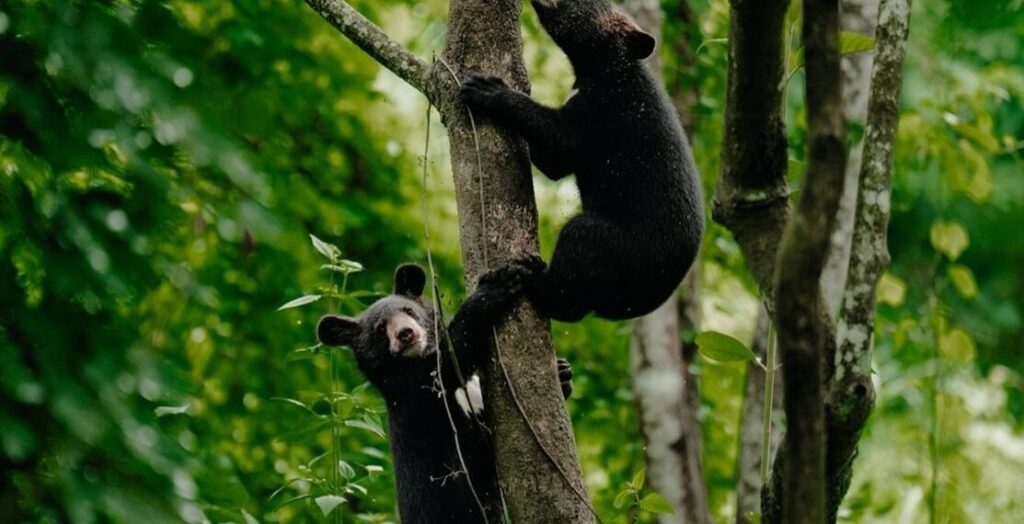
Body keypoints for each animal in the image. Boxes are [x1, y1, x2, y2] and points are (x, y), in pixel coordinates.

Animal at [316, 261, 572, 523]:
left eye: (409, 311)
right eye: (380, 329)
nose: (406, 333)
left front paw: (563, 372)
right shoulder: (419, 396)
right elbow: (451, 358)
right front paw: (497, 284)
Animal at [460, 0, 704, 322]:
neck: (603, 68)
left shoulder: (602, 110)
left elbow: (558, 145)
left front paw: (488, 89)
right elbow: (553, 160)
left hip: (623, 249)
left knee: (578, 254)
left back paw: (529, 278)